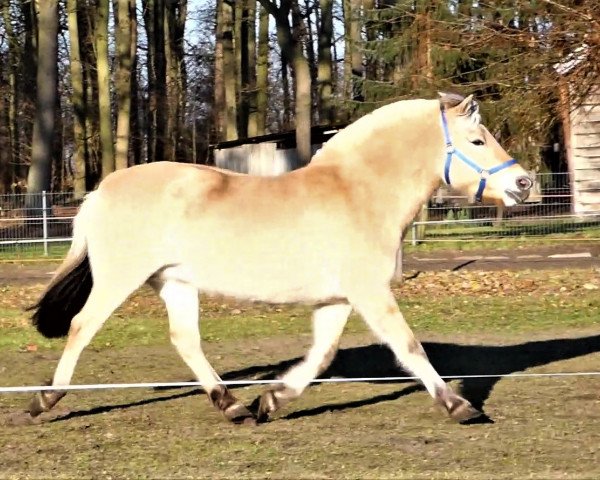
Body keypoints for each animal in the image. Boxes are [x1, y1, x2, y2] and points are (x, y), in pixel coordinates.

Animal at [28, 93, 536, 424]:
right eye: (477, 141)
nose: (524, 183)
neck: (358, 192)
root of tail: (101, 190)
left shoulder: (338, 299)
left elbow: (322, 356)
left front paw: (270, 400)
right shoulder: (370, 293)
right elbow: (409, 347)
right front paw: (459, 405)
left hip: (175, 282)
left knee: (185, 341)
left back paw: (231, 404)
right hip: (120, 278)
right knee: (82, 327)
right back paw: (45, 401)